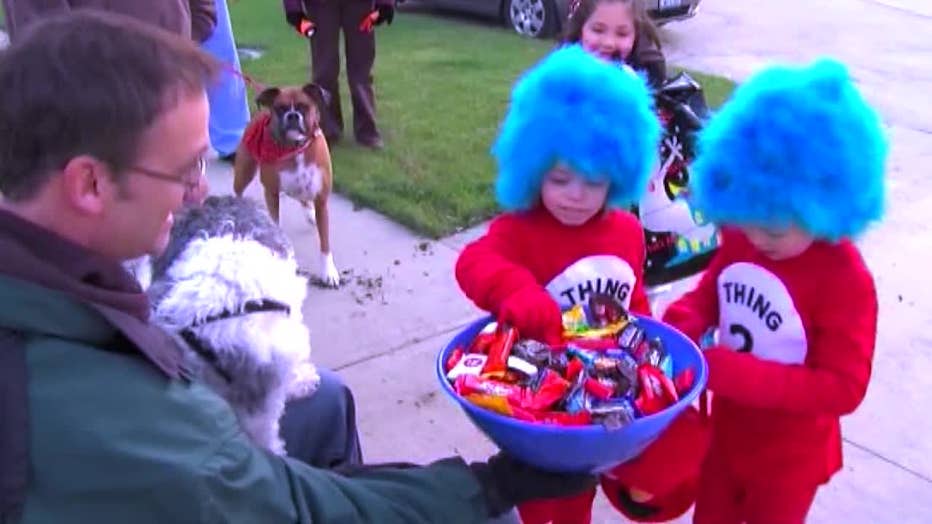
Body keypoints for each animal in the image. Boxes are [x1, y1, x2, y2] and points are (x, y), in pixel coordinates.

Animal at [232, 83, 340, 286]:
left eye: (303, 107)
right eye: (280, 108)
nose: (292, 115)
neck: (295, 148)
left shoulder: (321, 200)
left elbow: (325, 243)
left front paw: (328, 272)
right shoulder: (271, 193)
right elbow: (275, 223)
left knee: (303, 199)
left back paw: (310, 214)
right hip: (244, 173)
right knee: (238, 191)